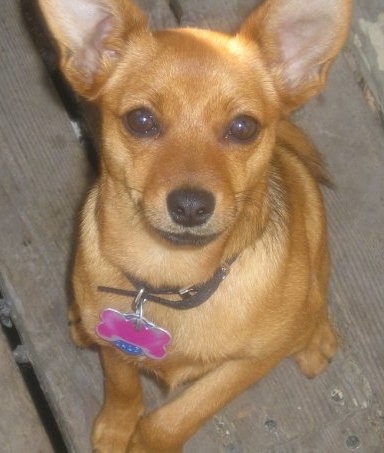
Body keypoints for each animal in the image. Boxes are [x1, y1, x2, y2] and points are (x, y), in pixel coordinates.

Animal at [39, 0, 352, 448]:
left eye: (243, 127)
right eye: (140, 120)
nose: (190, 205)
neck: (168, 278)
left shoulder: (250, 363)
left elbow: (178, 416)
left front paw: (145, 443)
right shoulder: (115, 342)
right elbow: (121, 381)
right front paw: (117, 427)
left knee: (317, 292)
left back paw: (316, 337)